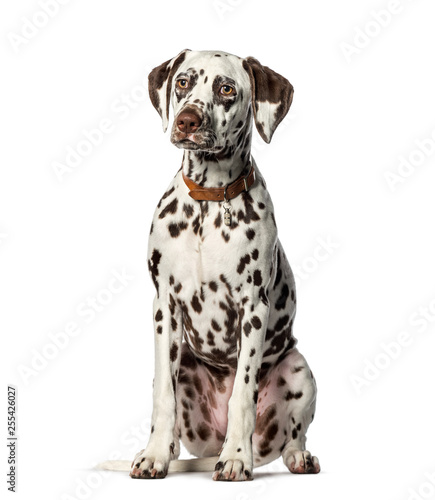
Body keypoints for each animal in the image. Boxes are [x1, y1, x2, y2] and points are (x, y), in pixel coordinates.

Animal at [100, 49, 322, 480]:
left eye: (226, 89)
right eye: (183, 82)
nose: (187, 120)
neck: (209, 202)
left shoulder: (253, 308)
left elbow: (243, 394)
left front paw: (236, 457)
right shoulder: (165, 307)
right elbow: (163, 397)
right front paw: (153, 455)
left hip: (300, 369)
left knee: (293, 436)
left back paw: (292, 456)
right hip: (186, 364)